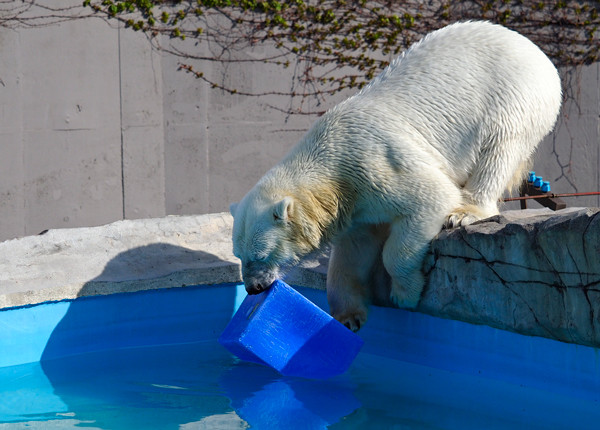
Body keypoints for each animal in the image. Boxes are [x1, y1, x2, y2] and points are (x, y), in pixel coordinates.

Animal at [230, 21, 564, 330]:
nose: (253, 287)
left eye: (260, 253)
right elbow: (353, 249)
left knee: (499, 150)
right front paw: (348, 316)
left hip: (513, 97)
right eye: (238, 254)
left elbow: (428, 199)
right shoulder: (354, 202)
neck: (330, 166)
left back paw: (466, 211)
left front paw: (405, 293)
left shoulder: (375, 164)